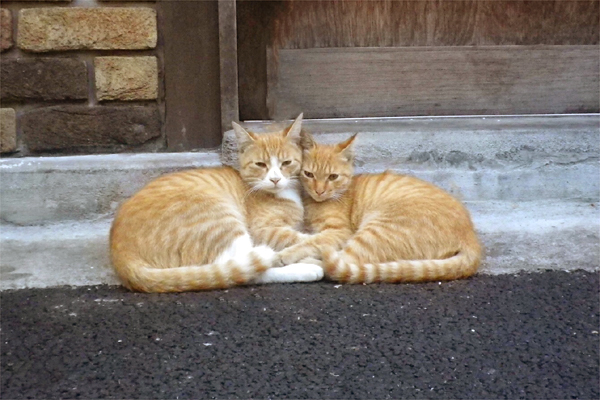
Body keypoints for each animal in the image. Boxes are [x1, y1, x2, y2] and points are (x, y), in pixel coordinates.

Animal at [108, 114, 324, 292]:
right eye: (260, 165)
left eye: (286, 163)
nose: (275, 179)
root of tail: (121, 254)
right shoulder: (263, 230)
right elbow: (302, 238)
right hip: (222, 221)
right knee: (243, 270)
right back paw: (306, 269)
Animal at [274, 133, 482, 282]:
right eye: (308, 174)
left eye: (333, 177)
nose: (319, 191)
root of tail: (471, 238)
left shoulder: (339, 231)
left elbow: (312, 241)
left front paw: (287, 253)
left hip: (375, 231)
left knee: (343, 261)